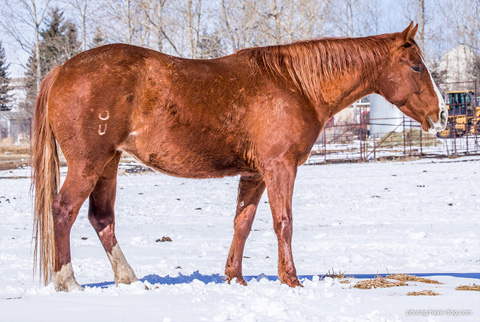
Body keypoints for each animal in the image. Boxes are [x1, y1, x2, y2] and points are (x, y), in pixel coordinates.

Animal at [32, 21, 446, 290]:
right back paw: (69, 283)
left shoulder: (255, 174)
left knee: (101, 218)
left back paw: (129, 279)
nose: (440, 114)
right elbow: (283, 222)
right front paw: (291, 281)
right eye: (416, 66)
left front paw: (235, 277)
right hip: (89, 163)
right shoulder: (279, 167)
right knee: (63, 211)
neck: (296, 84)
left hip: (109, 163)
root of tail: (62, 69)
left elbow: (242, 224)